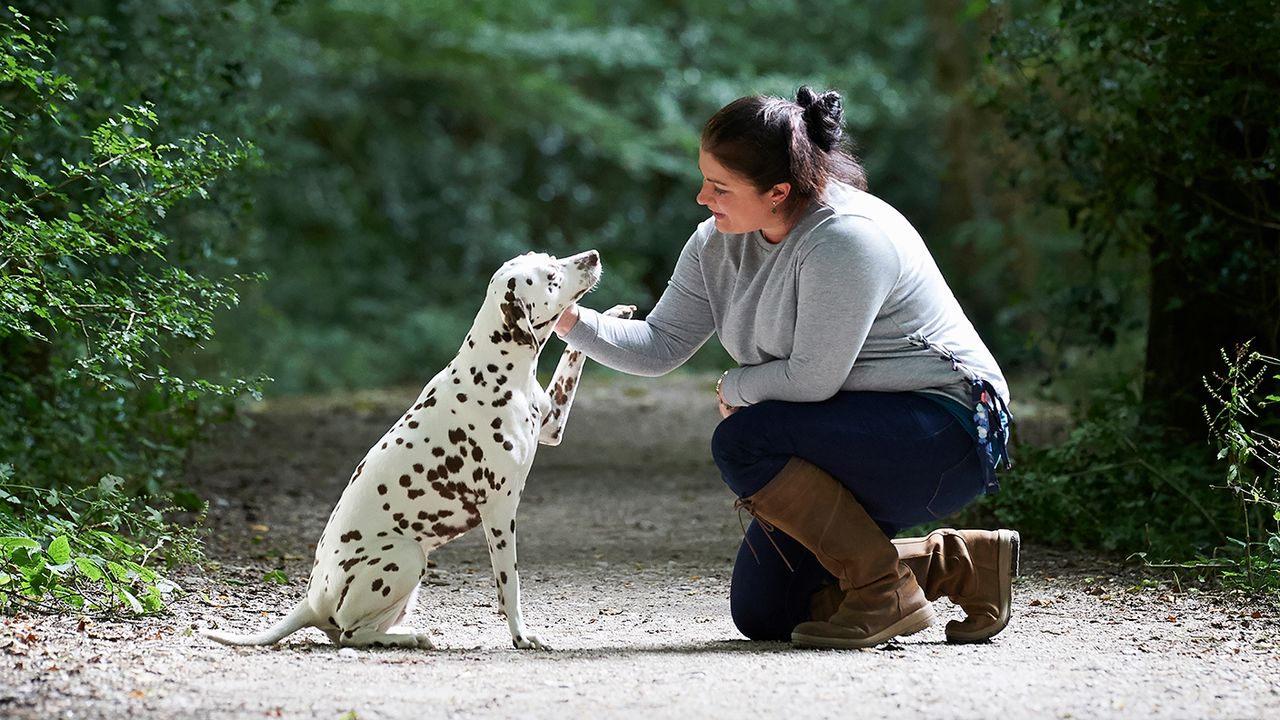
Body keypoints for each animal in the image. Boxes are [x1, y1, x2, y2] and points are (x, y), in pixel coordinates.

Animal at [203, 249, 634, 648]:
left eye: (551, 257)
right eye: (550, 276)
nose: (592, 256)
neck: (495, 370)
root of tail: (311, 600)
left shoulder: (553, 424)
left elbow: (573, 355)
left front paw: (616, 312)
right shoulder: (500, 511)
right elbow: (509, 586)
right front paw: (521, 636)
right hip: (409, 556)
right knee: (351, 635)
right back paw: (411, 638)